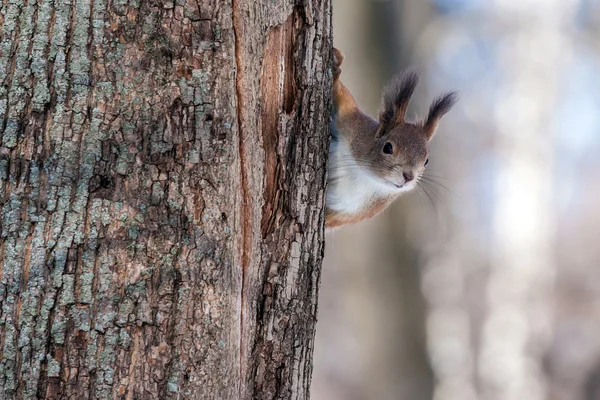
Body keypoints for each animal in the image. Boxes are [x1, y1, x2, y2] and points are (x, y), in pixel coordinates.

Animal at [326, 49, 458, 231]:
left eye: (426, 161)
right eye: (387, 148)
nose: (409, 176)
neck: (365, 176)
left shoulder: (348, 213)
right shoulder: (352, 122)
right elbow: (342, 95)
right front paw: (336, 65)